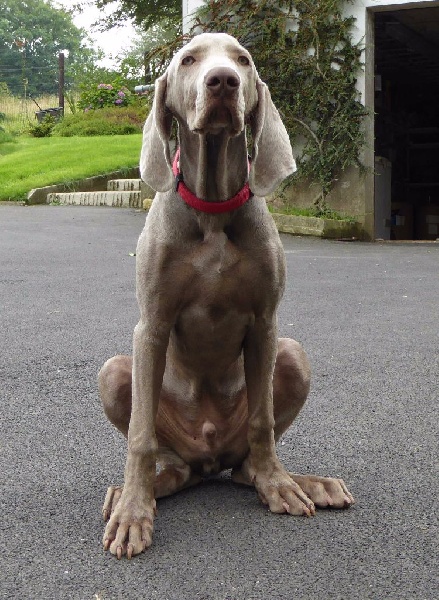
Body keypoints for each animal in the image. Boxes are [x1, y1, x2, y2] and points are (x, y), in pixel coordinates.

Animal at [99, 31, 354, 556]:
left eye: (243, 60)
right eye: (188, 60)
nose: (223, 81)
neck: (213, 207)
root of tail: (207, 455)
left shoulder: (266, 323)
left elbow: (262, 423)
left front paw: (279, 486)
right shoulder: (151, 325)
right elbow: (139, 437)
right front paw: (133, 513)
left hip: (291, 355)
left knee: (245, 465)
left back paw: (302, 482)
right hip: (115, 374)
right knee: (170, 463)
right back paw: (130, 494)